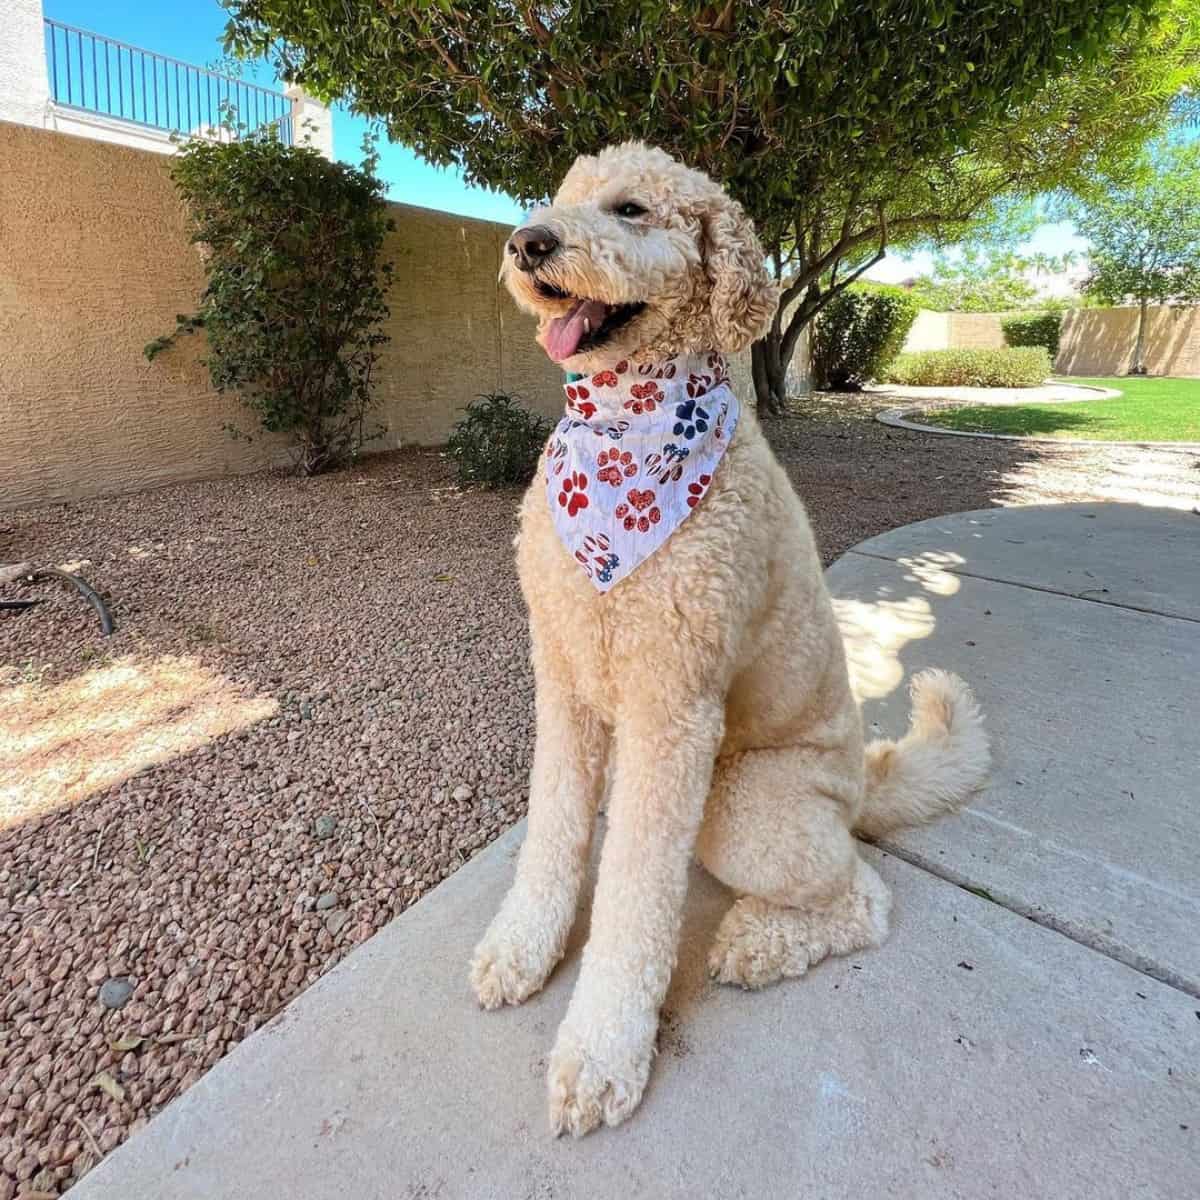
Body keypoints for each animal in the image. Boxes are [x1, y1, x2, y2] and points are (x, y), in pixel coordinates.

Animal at [468, 140, 984, 1132]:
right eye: (560, 198)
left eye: (631, 209)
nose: (527, 242)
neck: (626, 429)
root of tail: (861, 781)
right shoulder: (563, 675)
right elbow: (553, 830)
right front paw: (522, 948)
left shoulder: (673, 708)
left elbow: (635, 899)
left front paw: (601, 1052)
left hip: (742, 808)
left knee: (864, 897)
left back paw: (756, 941)